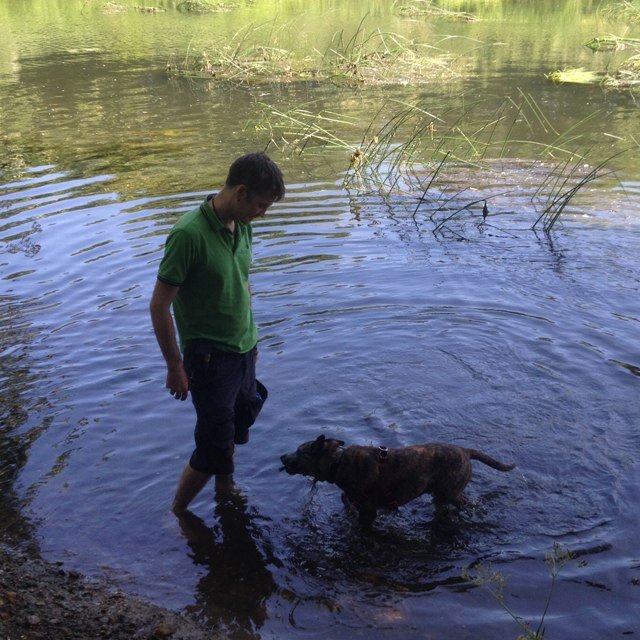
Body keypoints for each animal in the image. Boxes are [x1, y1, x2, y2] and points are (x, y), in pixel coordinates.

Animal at [280, 436, 516, 524]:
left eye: (300, 451)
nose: (282, 457)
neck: (336, 462)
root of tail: (466, 452)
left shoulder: (368, 510)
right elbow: (345, 498)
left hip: (450, 491)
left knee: (462, 502)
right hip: (440, 495)